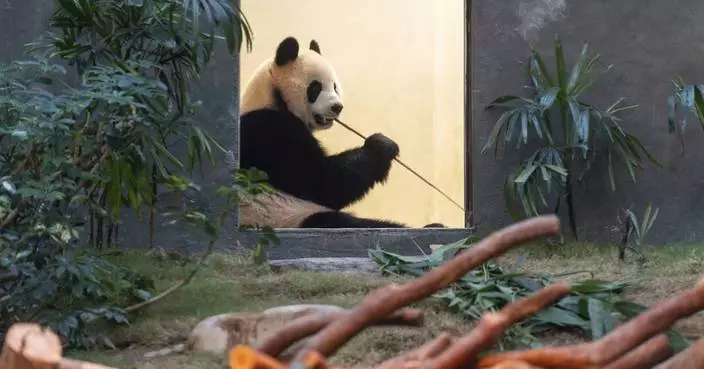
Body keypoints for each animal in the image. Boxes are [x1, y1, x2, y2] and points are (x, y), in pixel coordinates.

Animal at [239, 36, 442, 229]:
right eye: (315, 87)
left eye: (335, 86)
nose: (337, 107)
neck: (271, 96)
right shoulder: (271, 131)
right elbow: (323, 182)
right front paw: (381, 146)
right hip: (283, 215)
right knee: (343, 223)